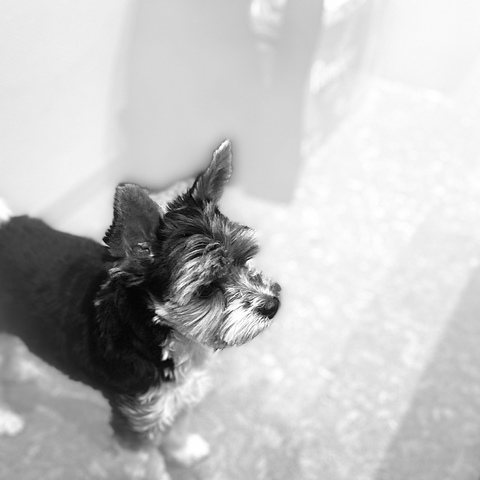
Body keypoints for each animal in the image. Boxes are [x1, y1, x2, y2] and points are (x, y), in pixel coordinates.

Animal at [0, 140, 280, 477]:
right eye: (206, 288)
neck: (162, 335)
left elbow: (177, 428)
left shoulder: (177, 397)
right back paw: (6, 418)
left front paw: (183, 450)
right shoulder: (137, 420)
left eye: (245, 258)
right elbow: (148, 464)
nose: (273, 304)